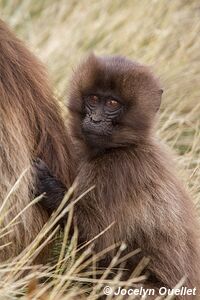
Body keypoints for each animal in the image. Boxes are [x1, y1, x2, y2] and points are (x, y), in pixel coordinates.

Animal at [36, 53, 200, 296]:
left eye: (113, 104)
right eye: (94, 99)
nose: (95, 120)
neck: (122, 146)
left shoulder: (118, 170)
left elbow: (99, 240)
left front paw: (52, 190)